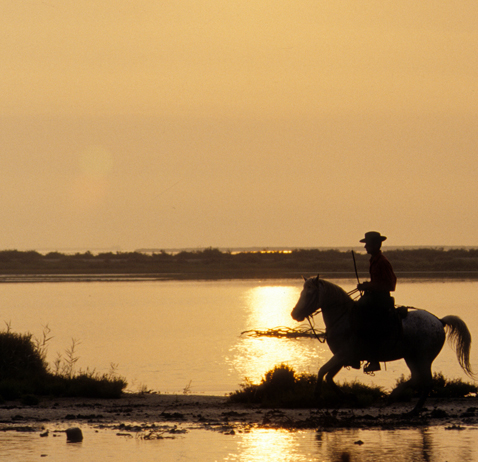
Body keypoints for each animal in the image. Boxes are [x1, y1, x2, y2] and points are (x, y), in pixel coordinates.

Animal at [292, 276, 474, 414]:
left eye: (310, 293)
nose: (294, 314)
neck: (343, 318)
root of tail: (439, 321)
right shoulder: (342, 356)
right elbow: (329, 377)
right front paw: (349, 397)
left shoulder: (343, 354)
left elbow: (322, 370)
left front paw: (317, 394)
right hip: (411, 357)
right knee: (417, 377)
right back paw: (395, 398)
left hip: (423, 358)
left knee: (427, 382)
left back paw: (412, 407)